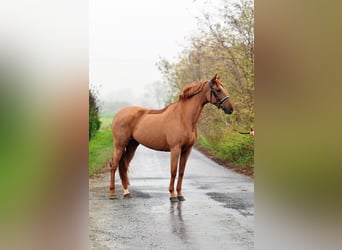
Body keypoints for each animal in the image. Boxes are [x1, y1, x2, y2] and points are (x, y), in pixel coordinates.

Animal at [108, 73, 234, 201]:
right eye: (218, 90)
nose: (230, 109)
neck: (183, 117)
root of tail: (118, 114)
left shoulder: (187, 150)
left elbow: (181, 172)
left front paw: (180, 194)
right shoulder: (175, 149)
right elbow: (173, 171)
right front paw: (172, 195)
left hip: (132, 145)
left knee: (124, 166)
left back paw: (126, 192)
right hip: (119, 145)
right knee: (113, 165)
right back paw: (112, 193)